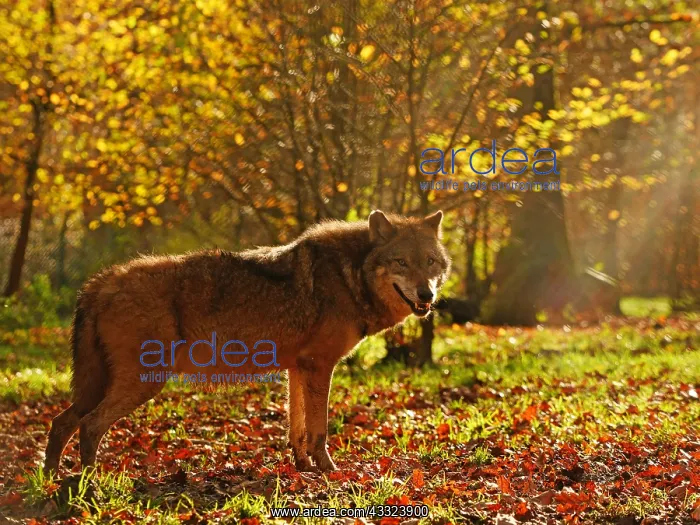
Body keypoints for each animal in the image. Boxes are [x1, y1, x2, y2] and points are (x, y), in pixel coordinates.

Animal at [44, 210, 451, 473]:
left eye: (431, 262)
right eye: (401, 262)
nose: (426, 295)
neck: (349, 276)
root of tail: (100, 281)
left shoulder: (297, 368)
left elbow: (297, 427)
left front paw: (301, 467)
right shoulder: (320, 366)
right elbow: (318, 429)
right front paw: (328, 469)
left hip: (100, 386)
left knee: (61, 423)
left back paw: (51, 481)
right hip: (143, 383)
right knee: (89, 426)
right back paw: (90, 484)